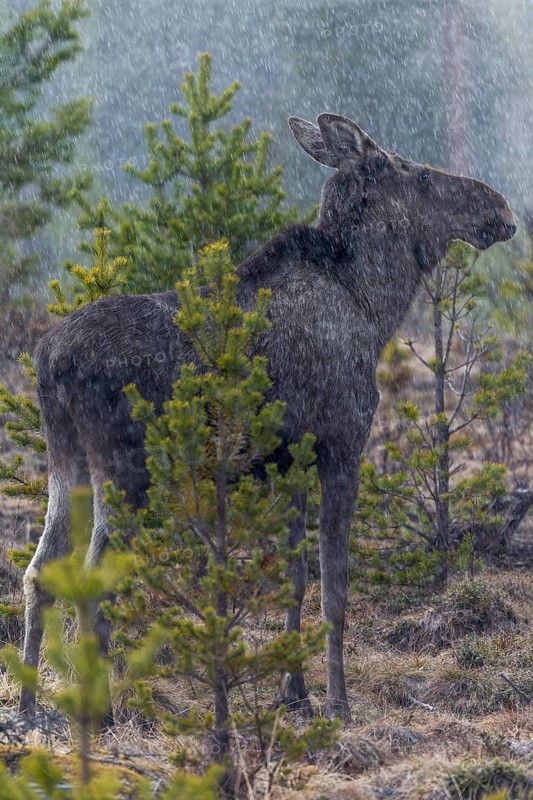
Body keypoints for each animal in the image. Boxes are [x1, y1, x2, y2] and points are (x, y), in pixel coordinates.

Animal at [19, 113, 515, 723]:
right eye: (421, 175)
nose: (499, 208)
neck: (372, 307)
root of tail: (48, 360)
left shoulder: (288, 461)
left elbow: (295, 578)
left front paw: (293, 690)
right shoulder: (343, 442)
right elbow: (334, 589)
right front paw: (337, 704)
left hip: (65, 460)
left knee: (39, 570)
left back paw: (27, 704)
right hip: (128, 468)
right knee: (91, 581)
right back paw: (102, 710)